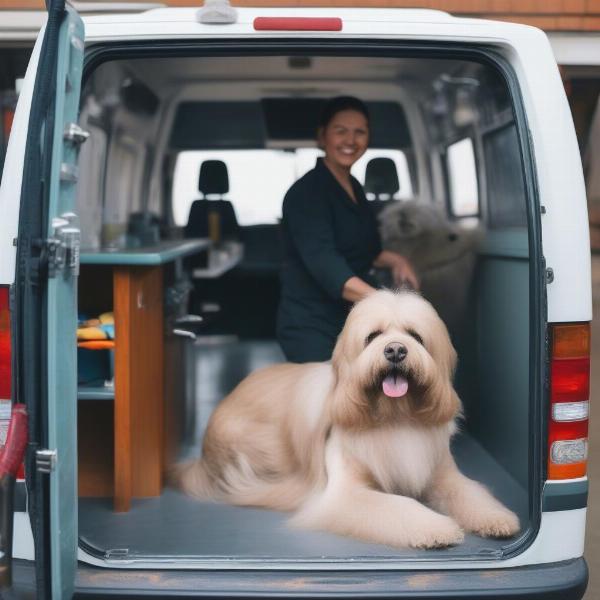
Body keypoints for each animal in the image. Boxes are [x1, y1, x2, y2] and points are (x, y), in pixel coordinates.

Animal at [175, 290, 520, 548]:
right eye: (373, 336)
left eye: (415, 336)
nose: (396, 350)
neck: (395, 416)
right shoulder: (347, 494)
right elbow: (400, 505)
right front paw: (437, 528)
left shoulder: (443, 476)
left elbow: (470, 492)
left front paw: (497, 518)